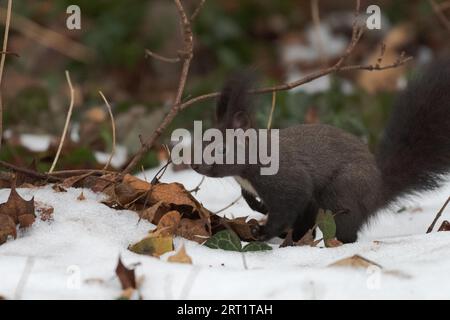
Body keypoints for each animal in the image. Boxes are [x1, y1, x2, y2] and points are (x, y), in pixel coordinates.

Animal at [192, 58, 450, 242]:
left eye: (222, 149)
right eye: (202, 140)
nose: (195, 165)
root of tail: (377, 191)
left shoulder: (285, 180)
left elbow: (287, 205)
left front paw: (263, 233)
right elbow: (251, 198)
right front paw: (258, 206)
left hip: (341, 194)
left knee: (343, 229)